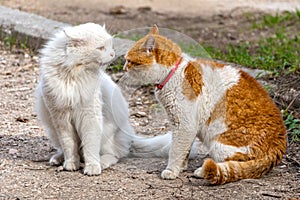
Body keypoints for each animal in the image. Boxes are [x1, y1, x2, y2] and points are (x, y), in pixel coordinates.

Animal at [120, 25, 288, 184]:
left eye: (129, 61)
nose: (123, 68)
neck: (174, 72)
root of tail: (278, 143)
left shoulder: (184, 125)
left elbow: (176, 150)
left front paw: (171, 170)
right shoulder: (184, 126)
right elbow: (184, 151)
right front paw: (182, 167)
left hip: (219, 145)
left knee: (236, 165)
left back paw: (202, 171)